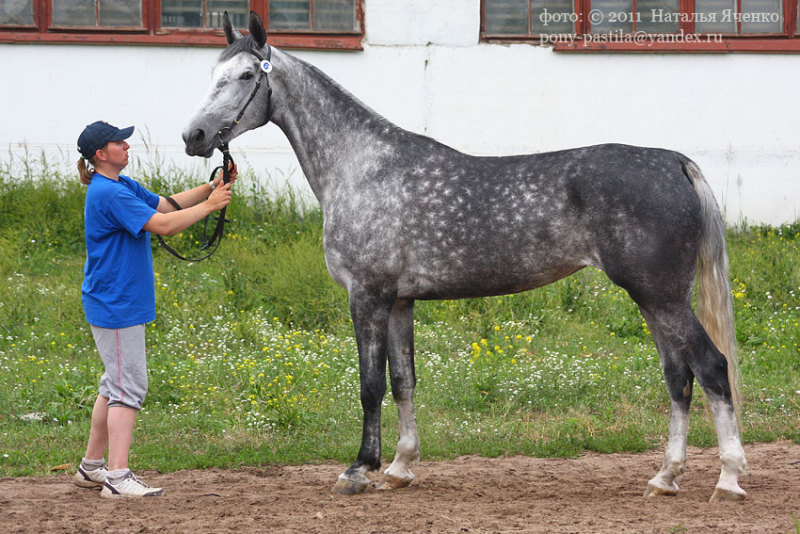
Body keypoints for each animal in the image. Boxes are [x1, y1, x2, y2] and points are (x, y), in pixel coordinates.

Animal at [184, 10, 748, 504]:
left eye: (245, 75)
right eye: (211, 74)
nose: (194, 136)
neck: (363, 168)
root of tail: (674, 162)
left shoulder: (367, 296)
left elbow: (370, 386)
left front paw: (359, 470)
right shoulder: (399, 302)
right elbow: (403, 381)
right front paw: (400, 467)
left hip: (661, 298)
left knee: (711, 368)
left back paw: (728, 479)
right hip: (654, 301)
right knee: (679, 378)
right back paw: (665, 477)